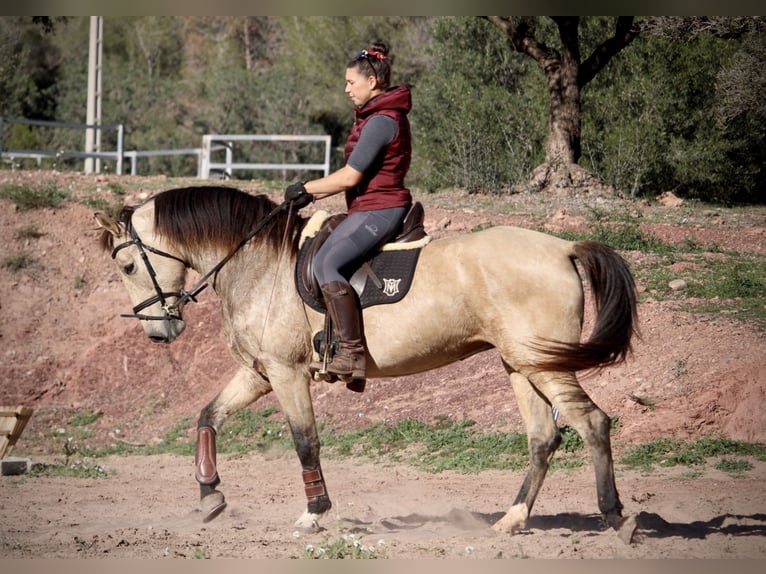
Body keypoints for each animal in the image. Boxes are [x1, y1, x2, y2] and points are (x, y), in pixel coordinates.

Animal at [93, 187, 640, 544]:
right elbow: (208, 415)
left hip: (543, 364)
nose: (158, 333)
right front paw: (210, 495)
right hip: (521, 364)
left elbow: (304, 441)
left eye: (126, 265)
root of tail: (564, 247)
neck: (259, 264)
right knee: (544, 437)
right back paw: (512, 519)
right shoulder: (259, 372)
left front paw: (314, 513)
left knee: (592, 422)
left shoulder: (286, 373)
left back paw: (616, 517)